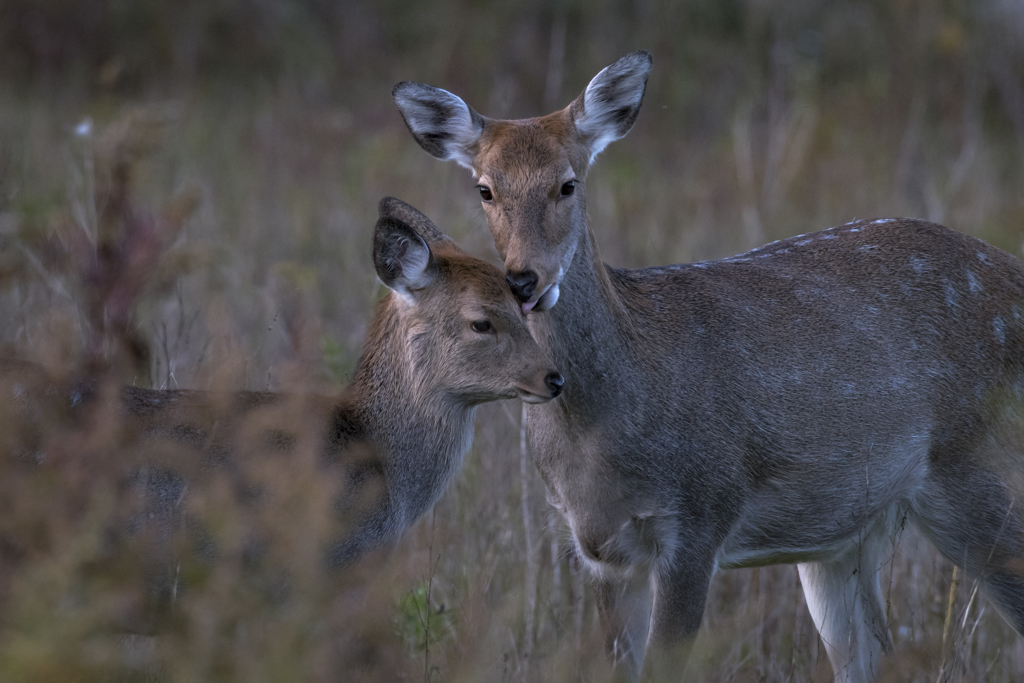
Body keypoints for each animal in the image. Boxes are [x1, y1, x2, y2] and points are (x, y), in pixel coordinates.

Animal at [393, 50, 1024, 679]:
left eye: (568, 183)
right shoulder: (598, 548)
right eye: (484, 189)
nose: (524, 280)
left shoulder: (699, 518)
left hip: (979, 473)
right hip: (849, 532)